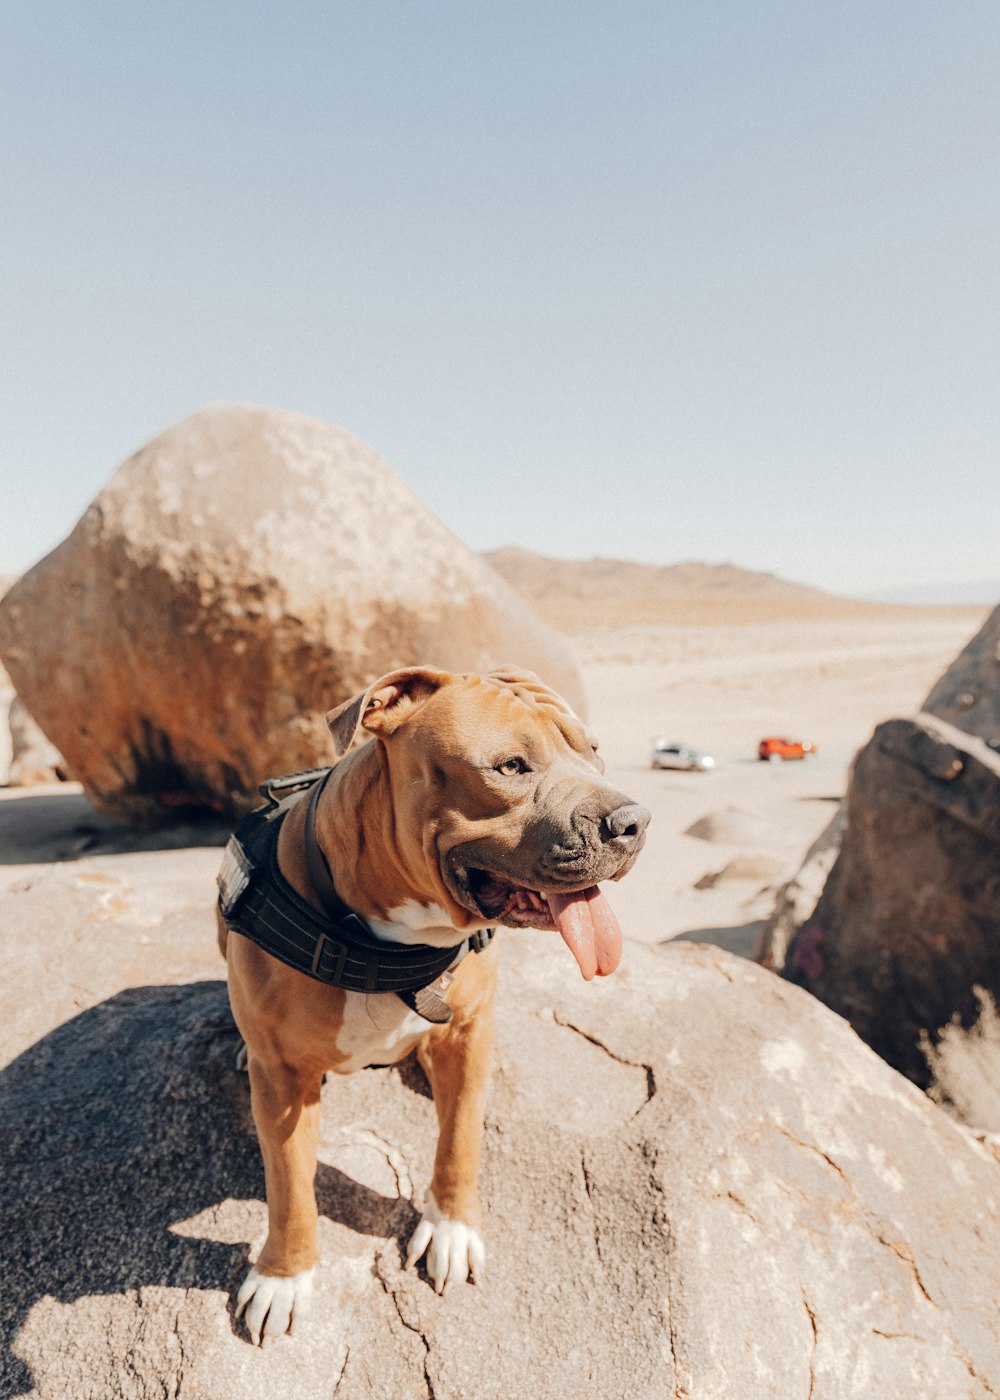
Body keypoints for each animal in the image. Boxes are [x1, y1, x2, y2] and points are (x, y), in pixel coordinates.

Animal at [218, 666, 647, 1344]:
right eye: (510, 766)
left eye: (593, 750)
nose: (635, 822)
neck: (385, 943)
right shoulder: (283, 1082)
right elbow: (289, 1187)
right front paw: (283, 1277)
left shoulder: (469, 1034)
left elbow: (460, 1141)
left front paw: (451, 1229)